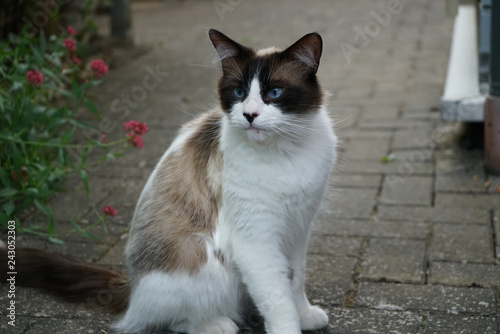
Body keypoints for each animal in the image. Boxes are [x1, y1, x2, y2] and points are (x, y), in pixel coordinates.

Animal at [1, 29, 338, 334]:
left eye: (274, 93)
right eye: (239, 93)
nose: (249, 115)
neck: (286, 151)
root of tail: (132, 286)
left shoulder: (297, 230)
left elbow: (295, 282)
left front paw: (305, 317)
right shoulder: (256, 241)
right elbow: (277, 297)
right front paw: (290, 326)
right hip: (201, 255)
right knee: (168, 320)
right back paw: (216, 325)